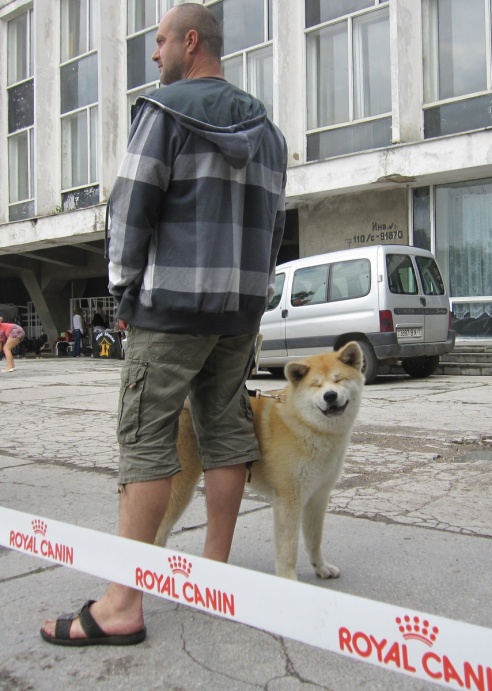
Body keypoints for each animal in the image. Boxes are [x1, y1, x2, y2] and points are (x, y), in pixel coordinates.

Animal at [156, 344, 364, 580]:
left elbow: (314, 539)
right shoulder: (289, 499)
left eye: (339, 379)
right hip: (180, 487)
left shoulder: (318, 497)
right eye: (316, 385)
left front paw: (321, 568)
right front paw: (288, 579)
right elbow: (288, 549)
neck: (304, 423)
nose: (330, 396)